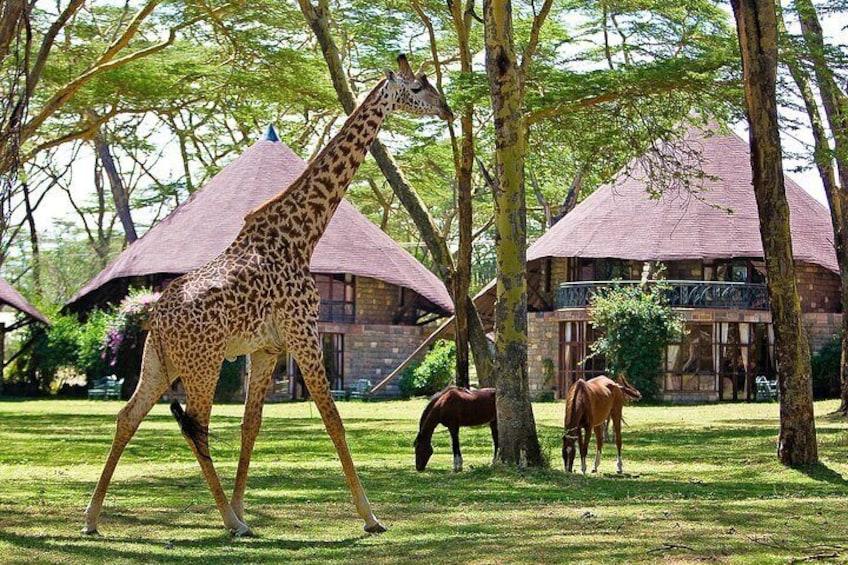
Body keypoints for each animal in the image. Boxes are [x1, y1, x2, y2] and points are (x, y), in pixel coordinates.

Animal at [85, 55, 454, 536]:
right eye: (418, 87)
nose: (448, 110)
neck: (302, 236)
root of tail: (158, 318)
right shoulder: (304, 334)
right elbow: (333, 418)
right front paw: (370, 516)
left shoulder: (266, 348)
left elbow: (251, 425)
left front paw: (243, 506)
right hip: (202, 364)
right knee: (195, 426)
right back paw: (229, 523)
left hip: (159, 362)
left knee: (129, 416)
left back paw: (93, 518)